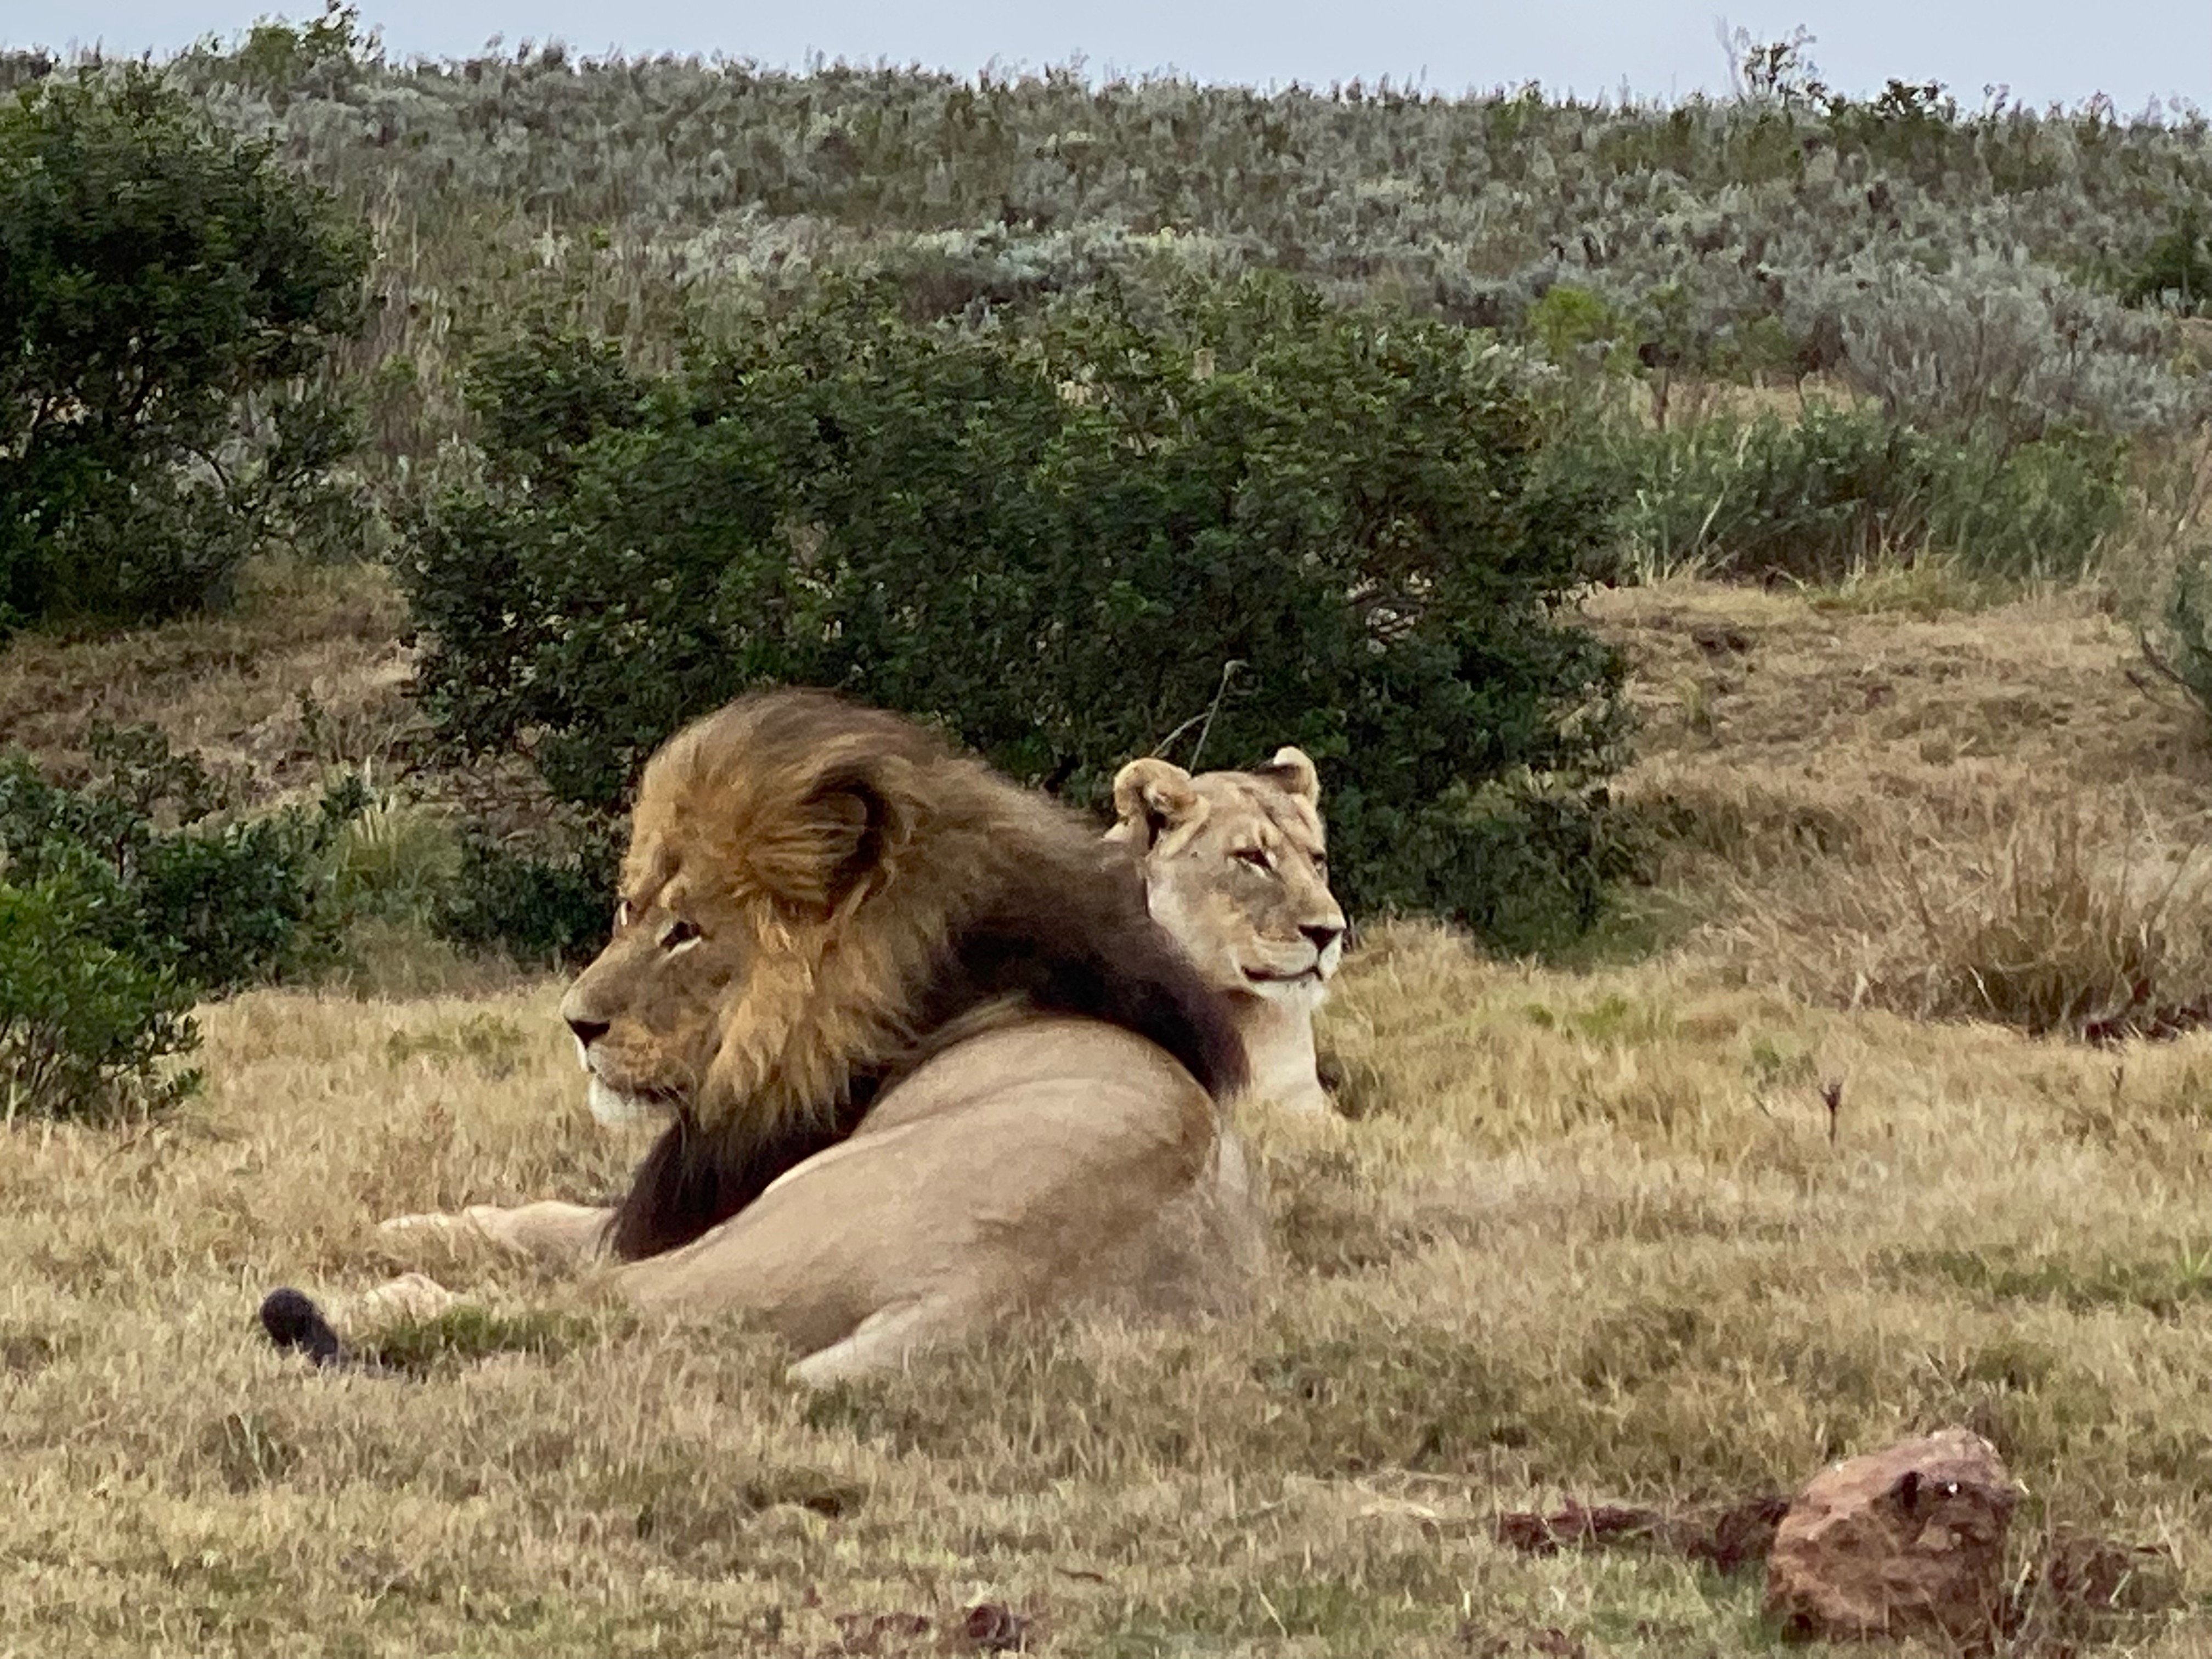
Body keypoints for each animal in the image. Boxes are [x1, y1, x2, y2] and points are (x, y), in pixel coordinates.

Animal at [262, 690, 1265, 1386]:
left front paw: (402, 1236)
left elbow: (548, 1224)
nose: (576, 1022)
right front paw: (412, 1220)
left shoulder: (674, 1204)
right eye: (630, 908)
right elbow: (530, 1210)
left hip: (770, 1222)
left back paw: (377, 1302)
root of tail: (995, 1290)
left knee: (578, 1308)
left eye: (687, 931)